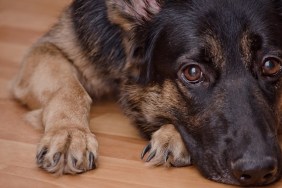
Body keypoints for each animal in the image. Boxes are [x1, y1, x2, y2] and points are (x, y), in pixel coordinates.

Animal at [12, 0, 282, 187]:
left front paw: (171, 137)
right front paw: (69, 133)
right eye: (193, 72)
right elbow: (69, 88)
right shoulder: (49, 48)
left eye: (271, 65)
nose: (257, 170)